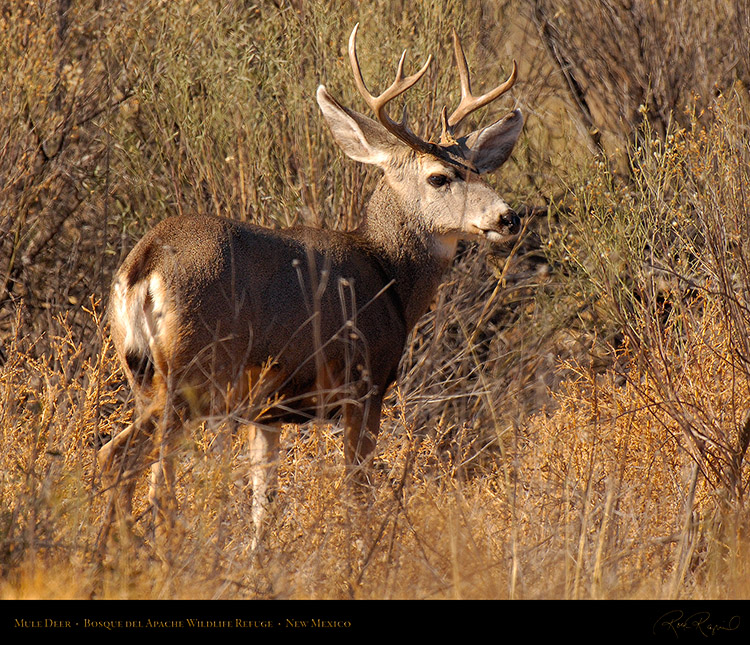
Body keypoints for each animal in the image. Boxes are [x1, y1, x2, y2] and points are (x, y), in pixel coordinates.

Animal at [98, 25, 524, 548]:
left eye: (479, 171)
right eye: (439, 177)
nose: (508, 218)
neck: (388, 276)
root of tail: (145, 263)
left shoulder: (266, 413)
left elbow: (263, 504)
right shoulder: (365, 384)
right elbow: (356, 491)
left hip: (142, 373)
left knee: (128, 463)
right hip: (190, 372)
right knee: (140, 469)